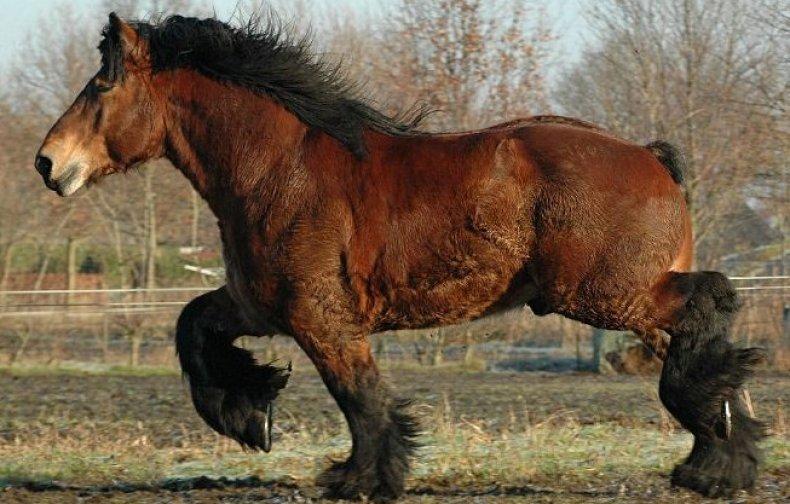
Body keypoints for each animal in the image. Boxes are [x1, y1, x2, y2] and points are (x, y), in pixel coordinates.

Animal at [35, 13, 764, 500]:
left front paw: (358, 477)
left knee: (711, 306)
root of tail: (653, 158)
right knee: (711, 348)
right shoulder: (255, 305)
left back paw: (711, 461)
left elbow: (362, 399)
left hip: (604, 293)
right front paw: (250, 417)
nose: (48, 163)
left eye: (101, 87)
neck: (278, 170)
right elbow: (192, 328)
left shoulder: (321, 320)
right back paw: (723, 460)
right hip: (626, 296)